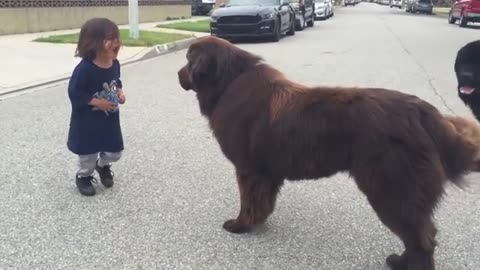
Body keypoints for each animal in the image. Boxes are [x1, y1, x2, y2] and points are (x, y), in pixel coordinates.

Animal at [178, 36, 480, 270]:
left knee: (421, 238)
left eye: (188, 60)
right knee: (420, 233)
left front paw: (240, 225)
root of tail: (423, 112)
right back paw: (399, 261)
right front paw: (258, 222)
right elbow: (262, 201)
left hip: (391, 186)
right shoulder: (266, 172)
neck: (227, 84)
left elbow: (248, 201)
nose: (178, 75)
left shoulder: (248, 168)